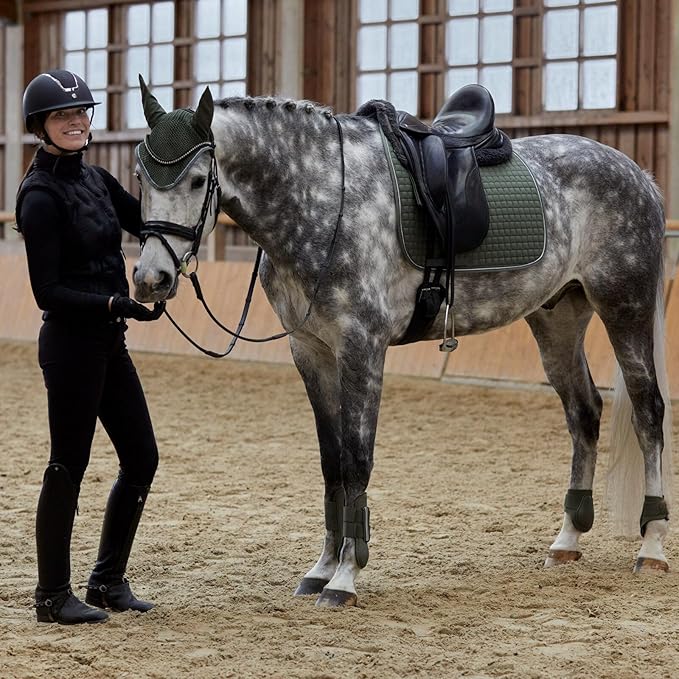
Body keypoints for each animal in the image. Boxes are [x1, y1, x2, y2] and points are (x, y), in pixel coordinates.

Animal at [131, 76, 673, 608]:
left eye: (197, 179)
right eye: (140, 177)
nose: (151, 279)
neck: (323, 196)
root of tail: (636, 173)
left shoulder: (362, 347)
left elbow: (357, 459)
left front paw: (345, 576)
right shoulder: (311, 351)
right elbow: (331, 463)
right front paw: (321, 568)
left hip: (625, 309)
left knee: (648, 412)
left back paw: (652, 546)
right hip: (557, 317)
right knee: (583, 413)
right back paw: (567, 540)